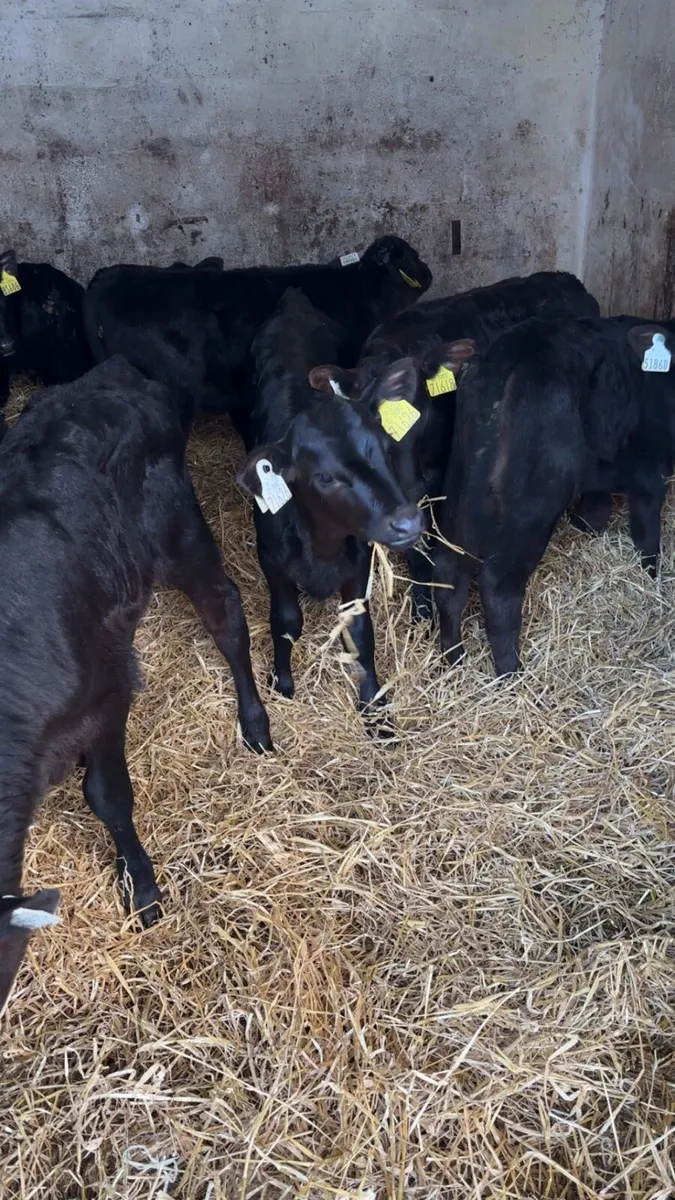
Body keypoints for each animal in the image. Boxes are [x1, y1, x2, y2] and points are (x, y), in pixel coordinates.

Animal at [0, 356, 272, 1013]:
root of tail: (115, 371)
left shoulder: (107, 692)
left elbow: (107, 794)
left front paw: (141, 885)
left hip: (179, 533)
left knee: (226, 614)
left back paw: (254, 721)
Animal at [235, 288, 424, 726]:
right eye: (324, 477)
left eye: (386, 446)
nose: (407, 522)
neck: (322, 547)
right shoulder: (271, 558)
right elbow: (286, 621)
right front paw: (282, 683)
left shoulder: (360, 559)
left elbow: (359, 629)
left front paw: (374, 706)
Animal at [432, 316, 675, 676]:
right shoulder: (651, 471)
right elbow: (647, 532)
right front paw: (652, 577)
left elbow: (597, 507)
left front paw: (587, 524)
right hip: (532, 506)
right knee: (497, 585)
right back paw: (510, 672)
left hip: (458, 493)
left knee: (449, 574)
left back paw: (454, 658)